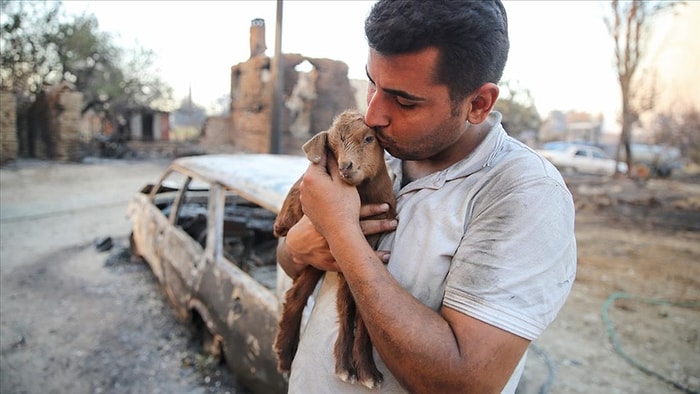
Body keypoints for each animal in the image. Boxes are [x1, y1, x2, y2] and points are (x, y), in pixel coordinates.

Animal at [272, 109, 394, 390]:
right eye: (332, 145)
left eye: (369, 138)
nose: (345, 167)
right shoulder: (343, 254)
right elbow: (347, 305)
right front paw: (348, 368)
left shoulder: (369, 248)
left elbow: (363, 310)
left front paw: (366, 371)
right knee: (297, 294)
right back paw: (284, 356)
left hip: (314, 263)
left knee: (296, 295)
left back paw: (285, 355)